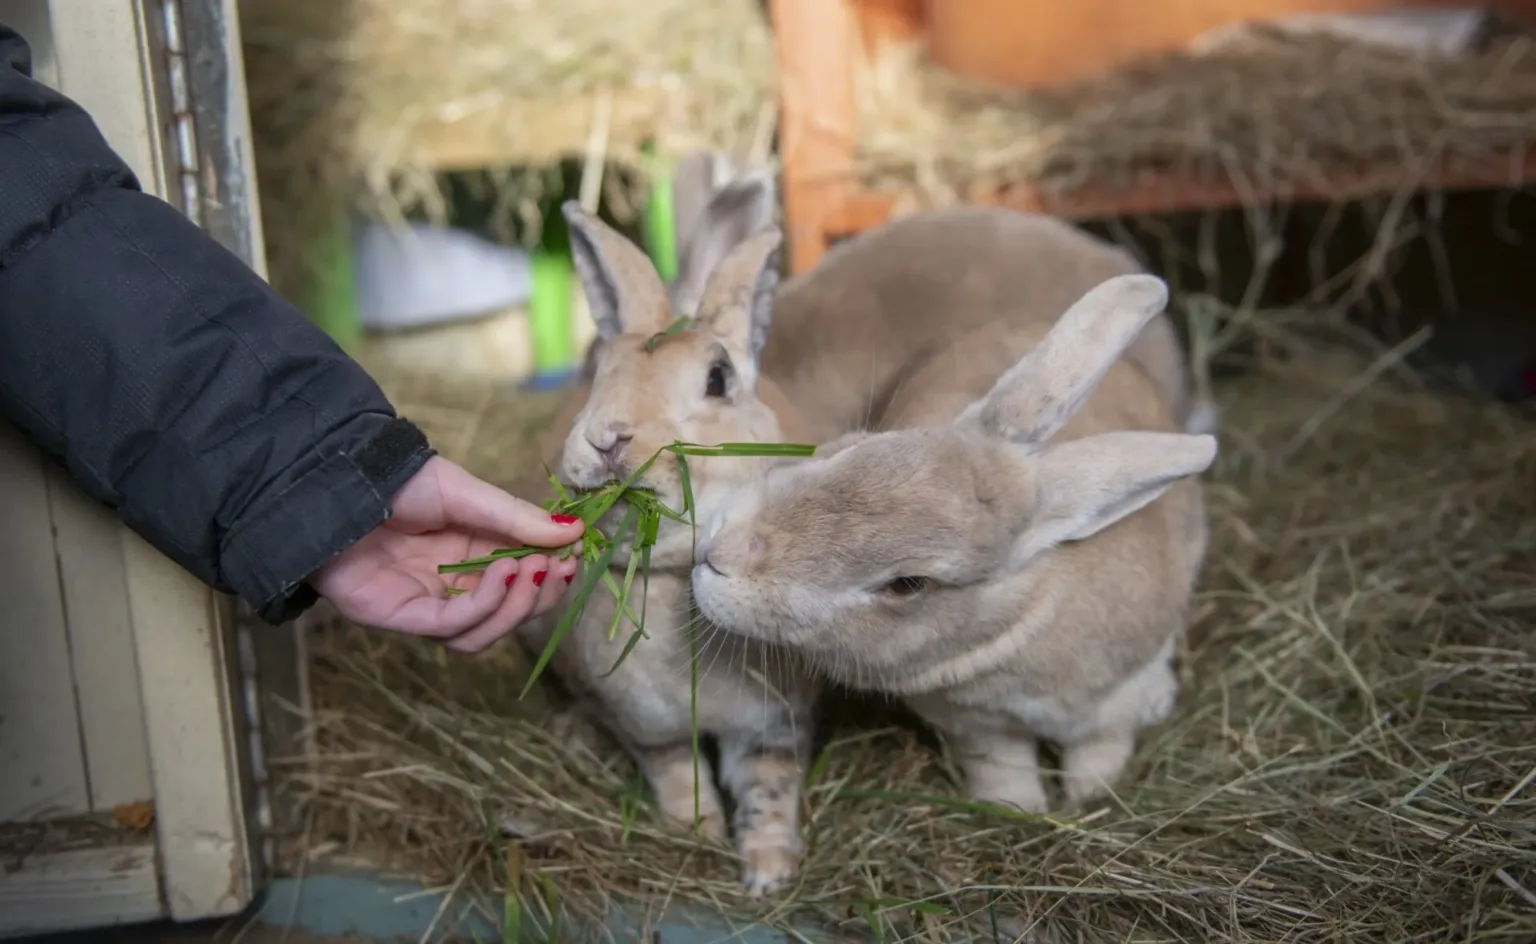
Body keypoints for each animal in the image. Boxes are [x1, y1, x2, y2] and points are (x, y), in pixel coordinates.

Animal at [513, 190, 820, 898]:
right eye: (599, 369)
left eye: (717, 379)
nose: (609, 438)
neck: (677, 574)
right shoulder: (650, 729)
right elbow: (681, 774)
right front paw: (696, 833)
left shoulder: (774, 724)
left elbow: (768, 788)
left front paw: (769, 873)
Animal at [690, 272, 1217, 814]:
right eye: (855, 445)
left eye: (907, 584)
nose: (718, 553)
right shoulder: (977, 728)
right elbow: (1001, 766)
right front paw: (1016, 809)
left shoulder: (1108, 710)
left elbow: (1099, 750)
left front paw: (1088, 799)